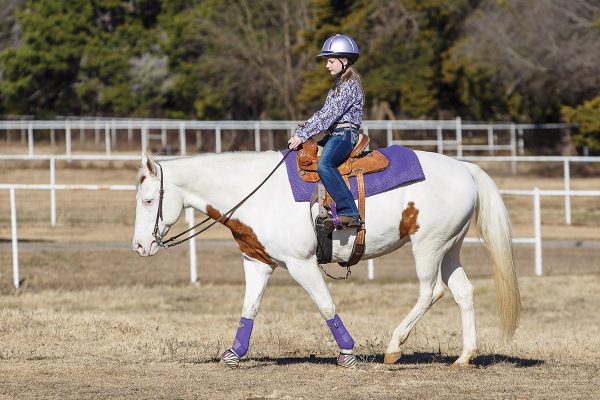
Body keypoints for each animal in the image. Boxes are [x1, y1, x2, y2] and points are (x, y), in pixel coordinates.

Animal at [132, 150, 520, 368]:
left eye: (148, 200)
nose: (139, 246)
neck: (256, 192)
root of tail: (465, 167)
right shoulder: (256, 262)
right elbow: (249, 309)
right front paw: (234, 354)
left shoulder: (301, 263)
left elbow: (325, 306)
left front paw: (347, 353)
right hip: (449, 247)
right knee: (463, 292)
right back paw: (464, 357)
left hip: (427, 246)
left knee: (431, 291)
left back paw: (394, 348)